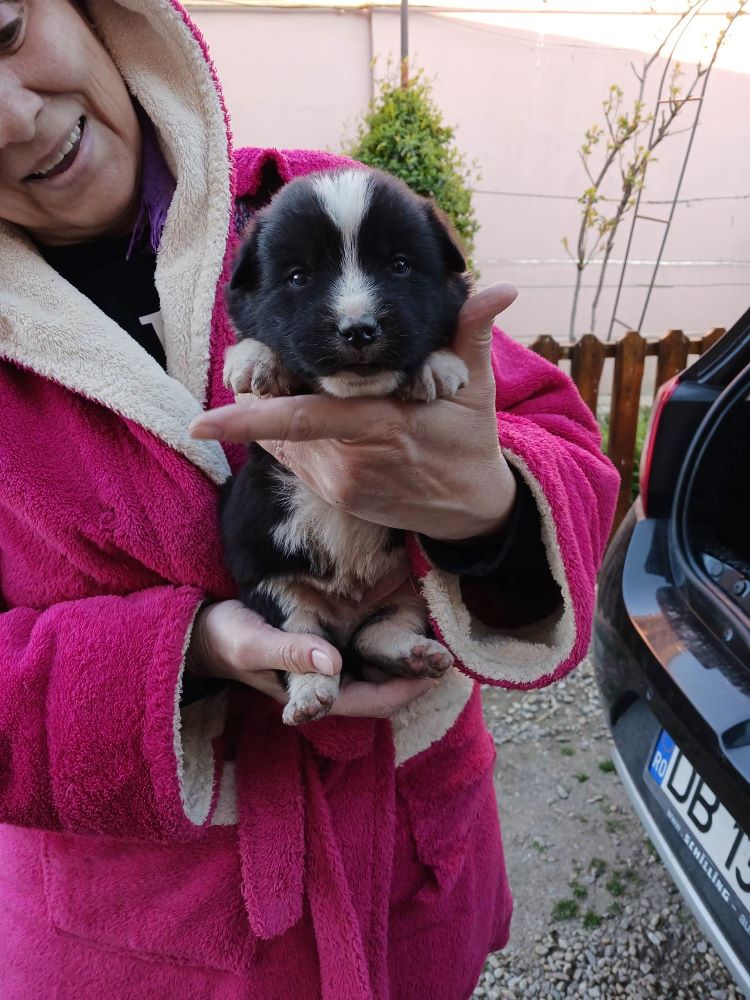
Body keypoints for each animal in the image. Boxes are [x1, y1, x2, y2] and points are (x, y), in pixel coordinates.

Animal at [220, 168, 472, 724]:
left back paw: (413, 653)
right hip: (273, 585)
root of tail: (346, 608)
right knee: (311, 644)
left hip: (414, 591)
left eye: (399, 266)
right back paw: (311, 691)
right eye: (298, 277)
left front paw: (437, 366)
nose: (358, 329)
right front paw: (255, 359)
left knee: (378, 633)